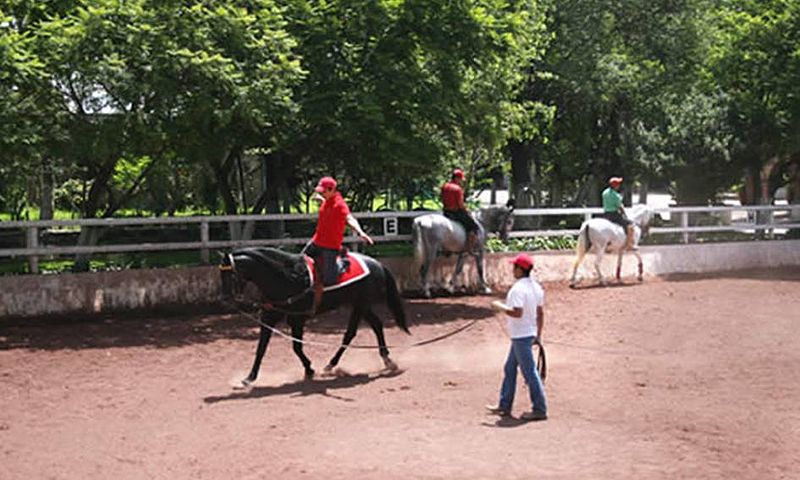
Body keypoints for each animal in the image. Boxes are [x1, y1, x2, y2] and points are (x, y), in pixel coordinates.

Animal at [219, 248, 410, 386]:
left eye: (230, 275)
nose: (225, 300)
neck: (286, 277)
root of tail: (377, 264)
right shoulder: (269, 317)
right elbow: (261, 348)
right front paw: (249, 377)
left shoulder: (297, 319)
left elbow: (296, 347)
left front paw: (309, 370)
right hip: (361, 306)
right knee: (377, 325)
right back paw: (387, 360)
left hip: (360, 305)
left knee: (350, 333)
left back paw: (331, 365)